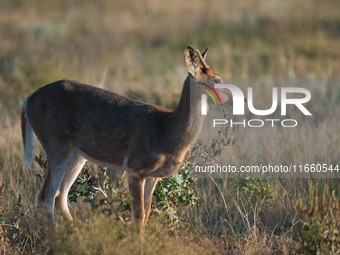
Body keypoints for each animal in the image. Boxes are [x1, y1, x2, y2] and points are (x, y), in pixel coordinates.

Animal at [21, 45, 232, 233]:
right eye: (217, 79)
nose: (234, 97)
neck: (166, 130)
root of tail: (27, 100)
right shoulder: (135, 167)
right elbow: (138, 215)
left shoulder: (153, 176)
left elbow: (146, 213)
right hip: (56, 145)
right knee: (46, 196)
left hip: (77, 154)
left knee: (60, 196)